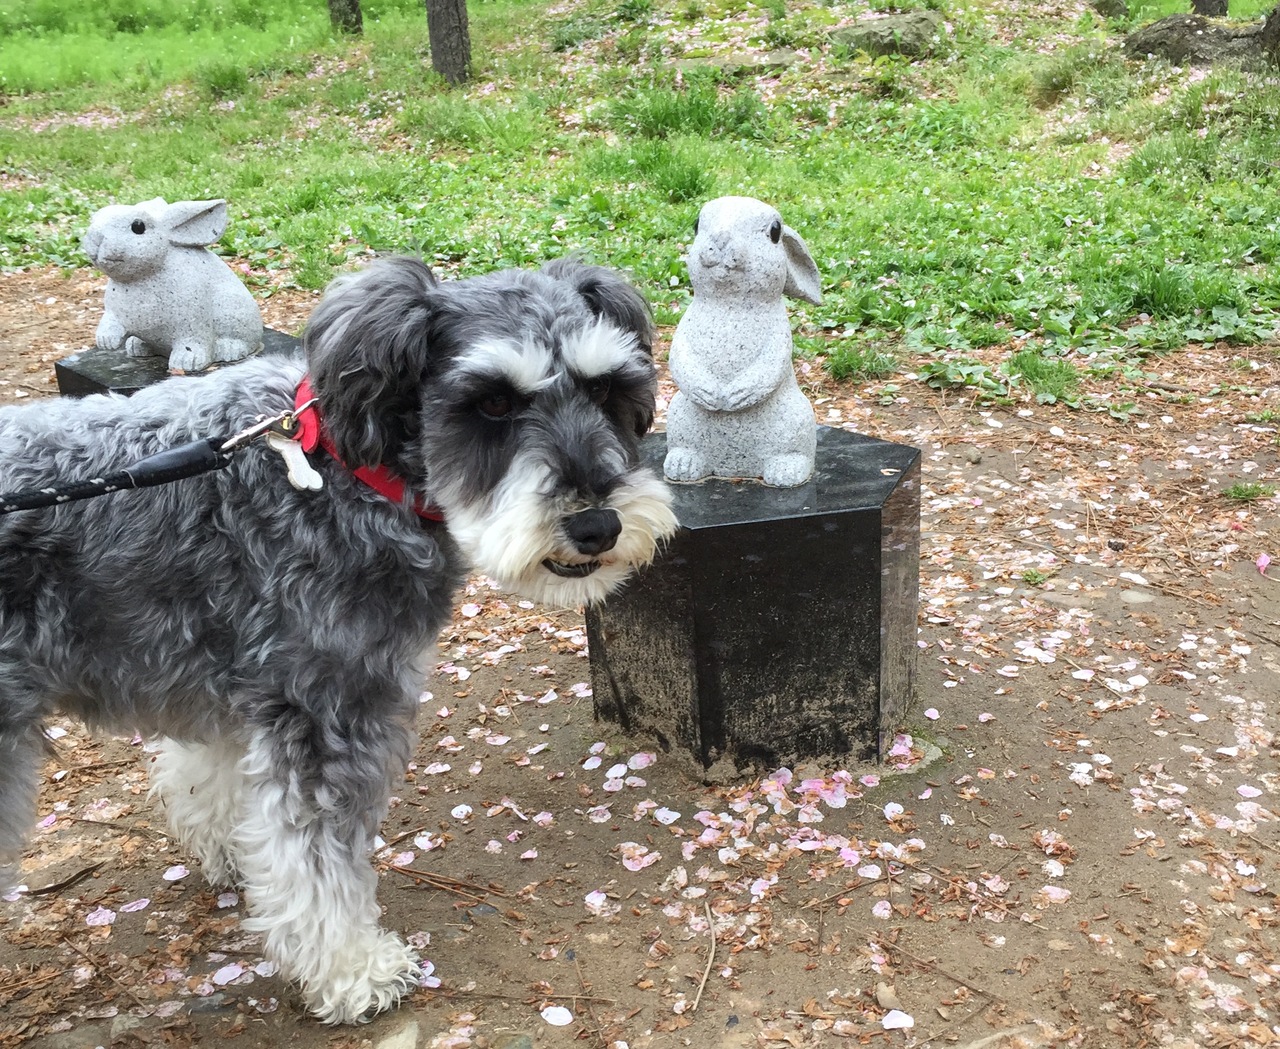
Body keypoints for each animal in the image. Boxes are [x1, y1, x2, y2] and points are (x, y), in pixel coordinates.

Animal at [0, 255, 680, 1023]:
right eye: (493, 405)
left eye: (605, 388)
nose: (598, 525)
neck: (344, 467)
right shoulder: (328, 709)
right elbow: (317, 858)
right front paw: (353, 969)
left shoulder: (240, 687)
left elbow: (218, 779)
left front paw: (231, 849)